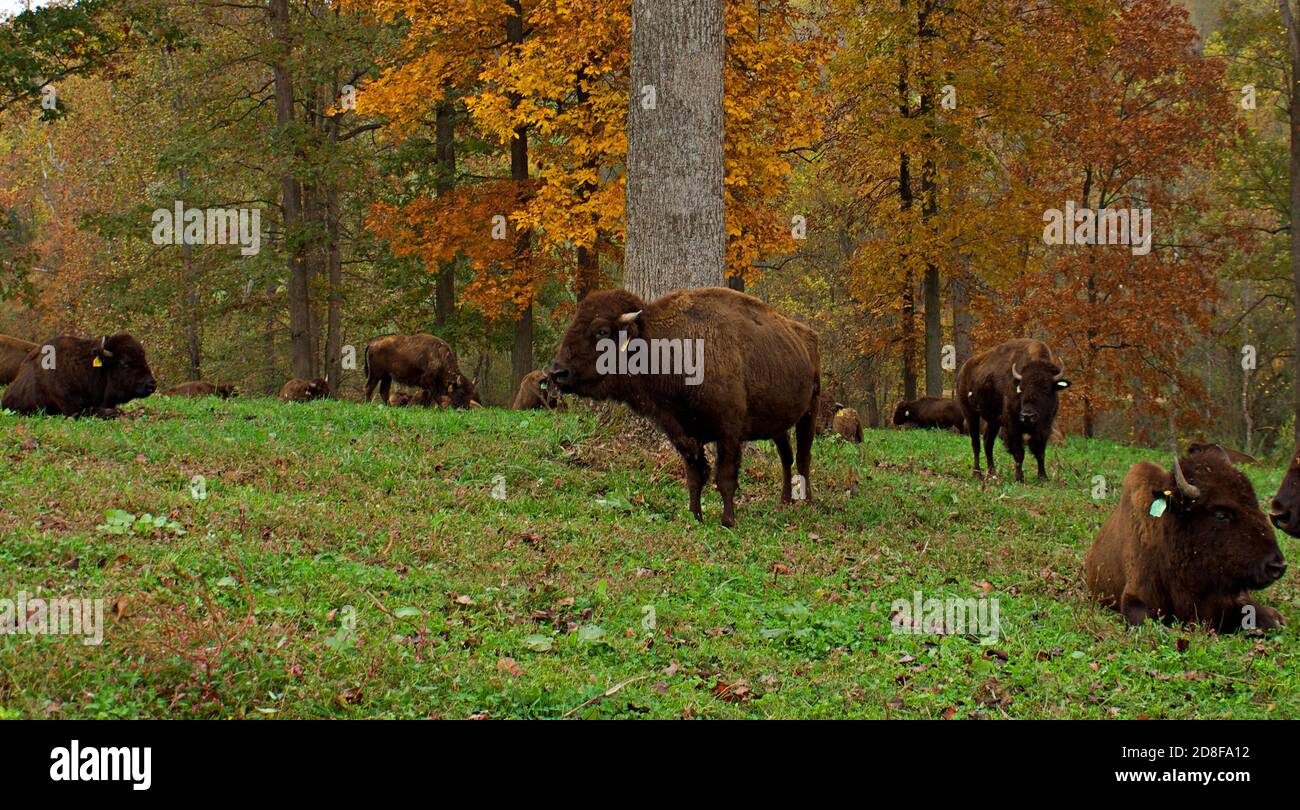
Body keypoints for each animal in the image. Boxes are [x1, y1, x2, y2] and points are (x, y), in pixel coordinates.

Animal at [551, 288, 816, 530]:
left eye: (602, 331)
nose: (558, 372)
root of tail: (807, 335)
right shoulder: (683, 433)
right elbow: (694, 477)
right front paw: (695, 517)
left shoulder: (729, 432)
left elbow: (725, 478)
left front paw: (728, 521)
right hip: (778, 424)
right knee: (786, 456)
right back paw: (784, 501)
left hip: (809, 412)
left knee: (803, 456)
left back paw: (806, 502)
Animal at [956, 338, 1066, 481]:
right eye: (1021, 388)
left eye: (1046, 388)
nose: (1027, 415)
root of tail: (963, 370)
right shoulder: (1013, 425)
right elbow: (1019, 452)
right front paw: (1019, 478)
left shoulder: (1044, 427)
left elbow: (1040, 451)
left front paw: (1043, 478)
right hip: (970, 414)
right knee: (976, 444)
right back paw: (977, 474)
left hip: (993, 421)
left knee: (988, 443)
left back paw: (992, 474)